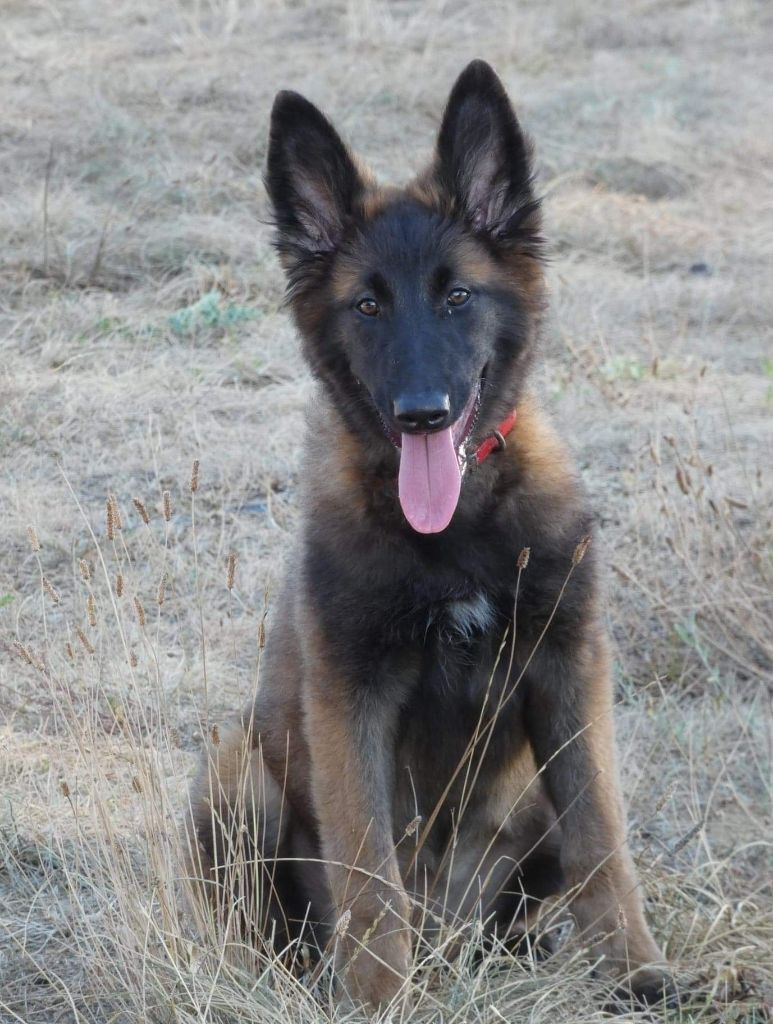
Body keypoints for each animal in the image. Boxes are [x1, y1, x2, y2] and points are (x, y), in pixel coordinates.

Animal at [189, 59, 675, 1011]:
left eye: (457, 297)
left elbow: (602, 841)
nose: (422, 413)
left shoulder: (569, 673)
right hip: (233, 774)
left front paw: (634, 971)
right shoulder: (350, 701)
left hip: (524, 810)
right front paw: (382, 999)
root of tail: (453, 935)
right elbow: (368, 869)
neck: (456, 530)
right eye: (368, 306)